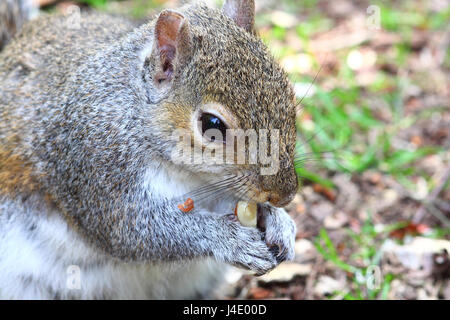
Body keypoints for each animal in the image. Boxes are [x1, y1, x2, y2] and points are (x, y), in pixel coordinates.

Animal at [1, 0, 300, 300]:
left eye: (288, 95)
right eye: (211, 124)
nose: (284, 195)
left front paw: (277, 221)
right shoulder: (94, 159)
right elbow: (132, 230)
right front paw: (228, 239)